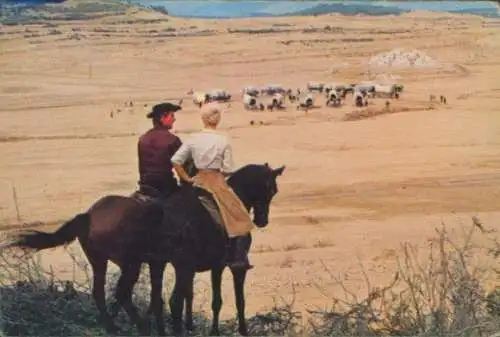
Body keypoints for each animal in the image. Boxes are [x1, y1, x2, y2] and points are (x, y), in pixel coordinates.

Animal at [2, 162, 286, 334]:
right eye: (271, 189)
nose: (262, 220)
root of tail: (89, 215)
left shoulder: (185, 266)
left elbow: (187, 298)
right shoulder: (228, 266)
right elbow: (229, 300)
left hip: (104, 261)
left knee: (104, 293)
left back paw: (116, 325)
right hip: (133, 263)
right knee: (126, 293)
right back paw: (138, 326)